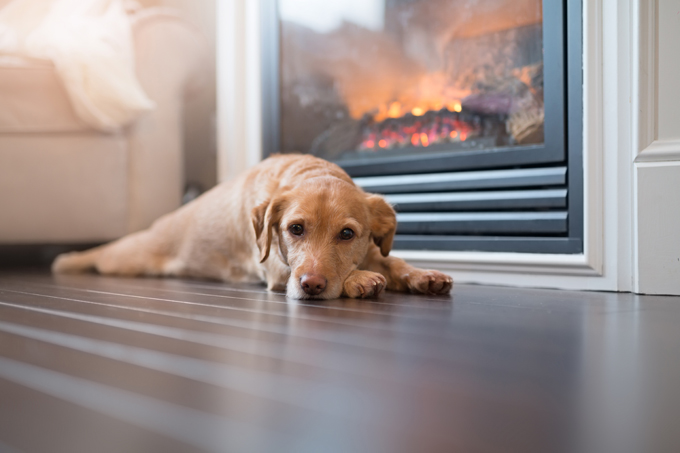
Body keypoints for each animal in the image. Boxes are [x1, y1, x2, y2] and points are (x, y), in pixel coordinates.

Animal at [51, 154, 452, 298]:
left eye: (347, 234)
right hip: (127, 256)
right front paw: (361, 279)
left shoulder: (369, 248)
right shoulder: (275, 266)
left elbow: (394, 262)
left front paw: (422, 274)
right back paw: (66, 259)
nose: (312, 285)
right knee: (103, 252)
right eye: (295, 229)